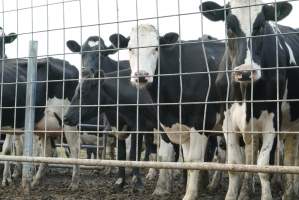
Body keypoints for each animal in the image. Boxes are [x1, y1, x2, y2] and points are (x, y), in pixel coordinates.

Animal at [109, 25, 225, 200]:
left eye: (156, 48)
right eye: (130, 49)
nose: (141, 76)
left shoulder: (201, 123)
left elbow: (194, 160)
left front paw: (190, 194)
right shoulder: (174, 126)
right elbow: (180, 159)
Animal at [200, 0, 299, 199]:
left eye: (260, 26)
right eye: (229, 27)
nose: (245, 72)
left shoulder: (272, 121)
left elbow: (263, 166)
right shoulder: (228, 121)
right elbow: (235, 165)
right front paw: (234, 194)